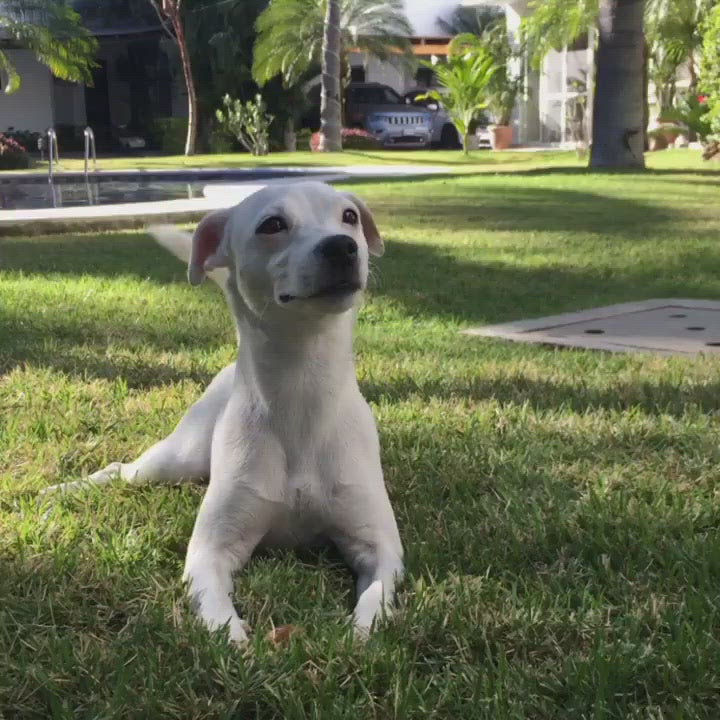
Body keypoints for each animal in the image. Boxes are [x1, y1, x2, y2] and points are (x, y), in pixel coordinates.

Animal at [46, 183, 404, 644]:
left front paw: (359, 635)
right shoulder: (210, 551)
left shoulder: (380, 547)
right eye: (273, 224)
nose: (342, 246)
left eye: (349, 217)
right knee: (120, 470)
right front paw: (236, 643)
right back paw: (64, 490)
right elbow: (216, 611)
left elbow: (376, 596)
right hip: (176, 458)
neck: (301, 391)